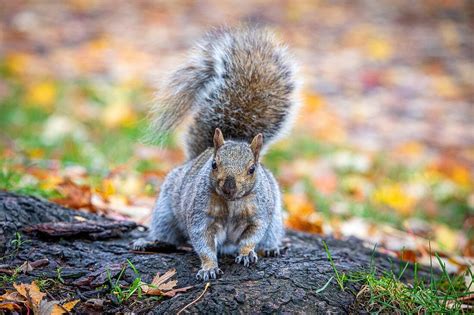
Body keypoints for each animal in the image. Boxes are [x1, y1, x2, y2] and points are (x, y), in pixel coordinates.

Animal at [131, 24, 298, 282]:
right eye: (214, 164)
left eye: (252, 169)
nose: (229, 186)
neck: (231, 204)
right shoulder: (200, 217)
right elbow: (203, 243)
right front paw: (208, 267)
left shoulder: (260, 213)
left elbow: (253, 235)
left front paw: (247, 253)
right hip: (165, 212)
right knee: (169, 237)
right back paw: (151, 243)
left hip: (276, 220)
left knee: (269, 235)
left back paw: (272, 248)